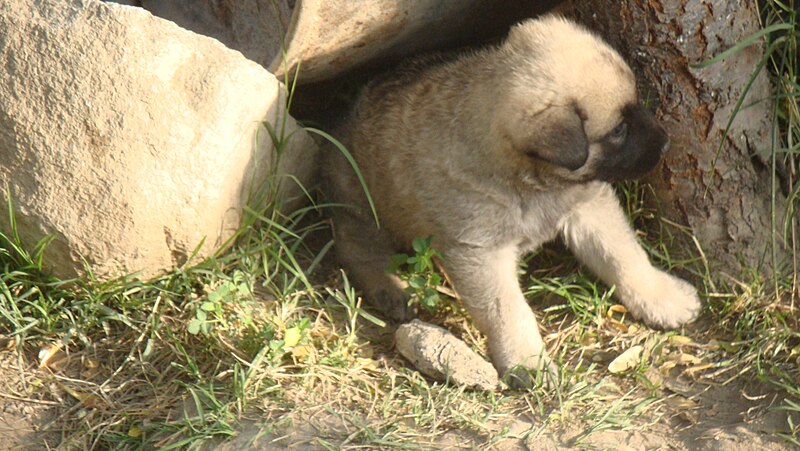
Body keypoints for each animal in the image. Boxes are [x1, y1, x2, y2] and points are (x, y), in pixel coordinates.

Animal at [322, 15, 696, 384]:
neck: (530, 180)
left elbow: (625, 257)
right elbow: (508, 311)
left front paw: (663, 298)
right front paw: (527, 360)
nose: (665, 142)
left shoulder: (588, 206)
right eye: (618, 130)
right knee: (356, 246)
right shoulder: (480, 253)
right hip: (362, 201)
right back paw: (393, 289)